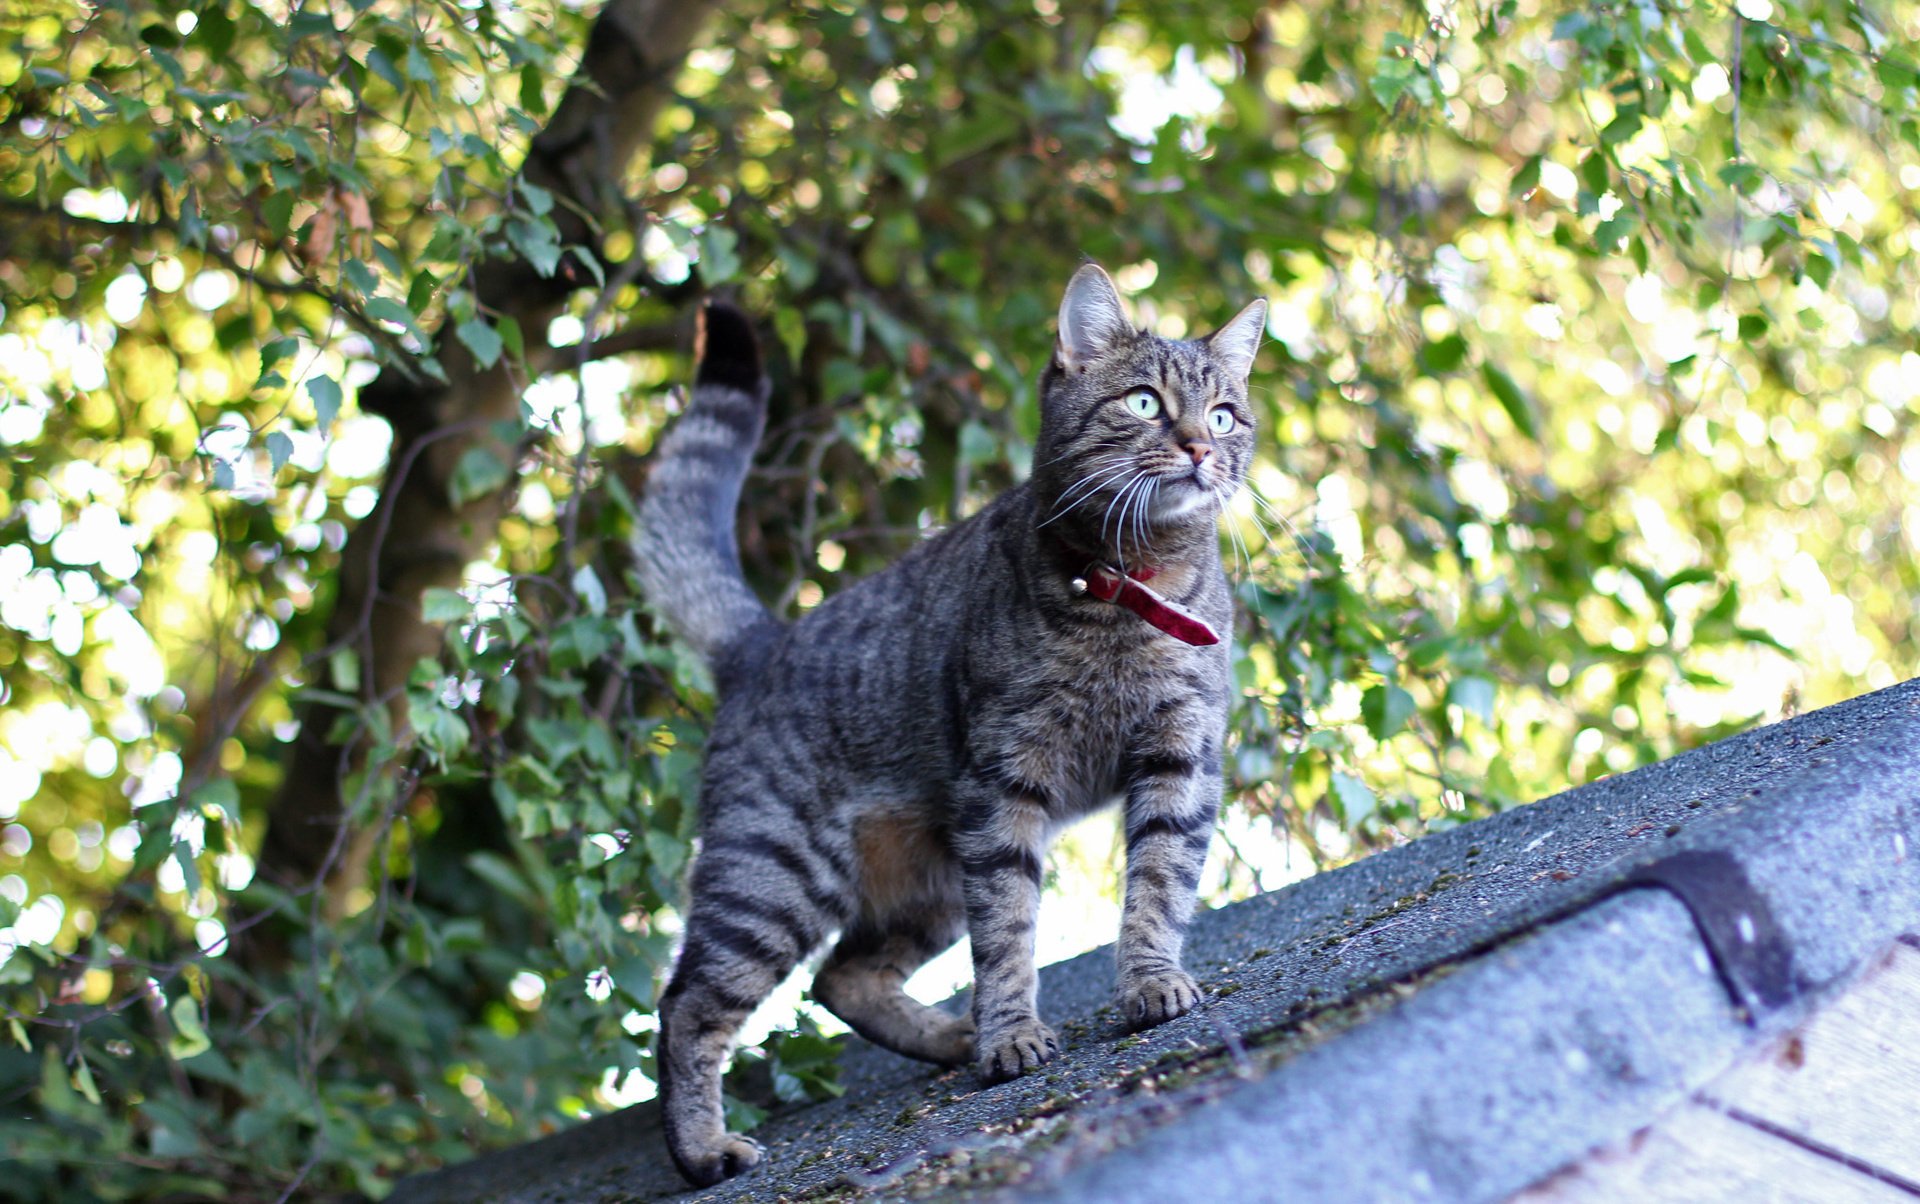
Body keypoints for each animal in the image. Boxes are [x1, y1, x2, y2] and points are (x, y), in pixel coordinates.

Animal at [637, 266, 1267, 1190]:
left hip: (924, 883)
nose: (1196, 447)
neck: (1128, 587)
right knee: (686, 1004)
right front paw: (1011, 1036)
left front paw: (1149, 982)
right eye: (1146, 403)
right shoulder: (1004, 785)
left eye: (1222, 415)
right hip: (777, 874)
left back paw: (946, 1037)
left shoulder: (1178, 758)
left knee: (841, 981)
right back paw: (701, 1151)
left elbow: (1159, 886)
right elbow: (1009, 933)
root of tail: (764, 641)